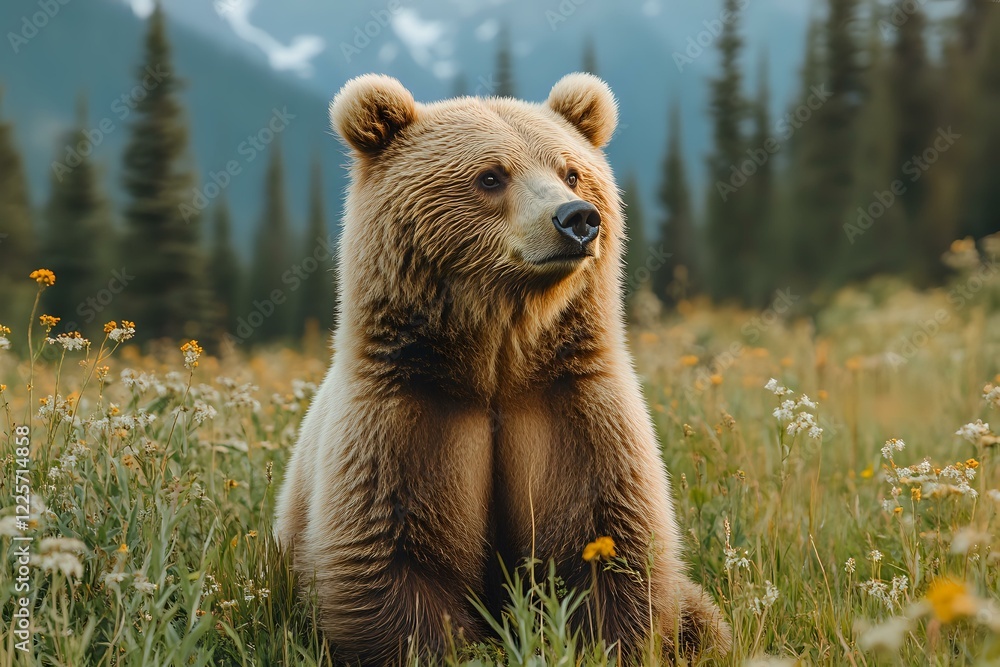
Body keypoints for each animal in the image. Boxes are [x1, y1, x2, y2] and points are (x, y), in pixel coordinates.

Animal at [274, 72, 732, 665]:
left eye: (570, 171)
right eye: (491, 176)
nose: (577, 219)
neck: (497, 363)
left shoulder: (572, 406)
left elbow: (609, 542)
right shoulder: (404, 416)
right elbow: (393, 560)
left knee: (705, 620)